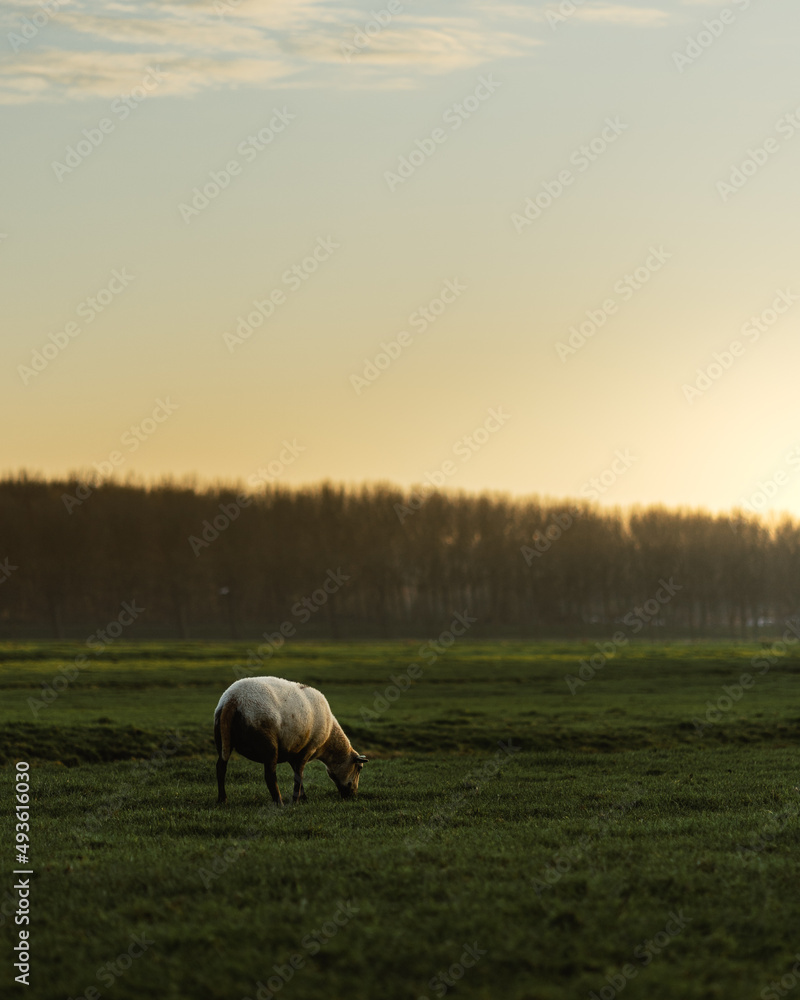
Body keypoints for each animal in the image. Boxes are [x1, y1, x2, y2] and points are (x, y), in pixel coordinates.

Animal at [213, 676, 368, 806]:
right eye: (359, 768)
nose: (353, 796)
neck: (328, 741)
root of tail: (233, 700)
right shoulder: (307, 749)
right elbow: (299, 775)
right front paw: (296, 800)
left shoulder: (294, 751)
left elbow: (297, 774)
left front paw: (303, 797)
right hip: (268, 744)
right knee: (270, 775)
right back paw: (279, 802)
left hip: (221, 737)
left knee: (221, 767)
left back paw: (222, 800)